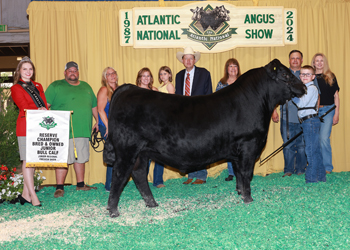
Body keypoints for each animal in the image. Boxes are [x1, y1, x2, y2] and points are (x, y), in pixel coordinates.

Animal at [102, 59, 304, 217]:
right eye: (285, 74)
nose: (303, 87)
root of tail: (128, 88)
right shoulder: (249, 145)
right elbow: (247, 172)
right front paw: (248, 198)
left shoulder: (237, 151)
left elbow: (238, 172)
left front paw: (240, 193)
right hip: (127, 150)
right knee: (119, 174)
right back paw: (113, 211)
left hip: (142, 153)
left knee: (138, 175)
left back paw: (151, 203)